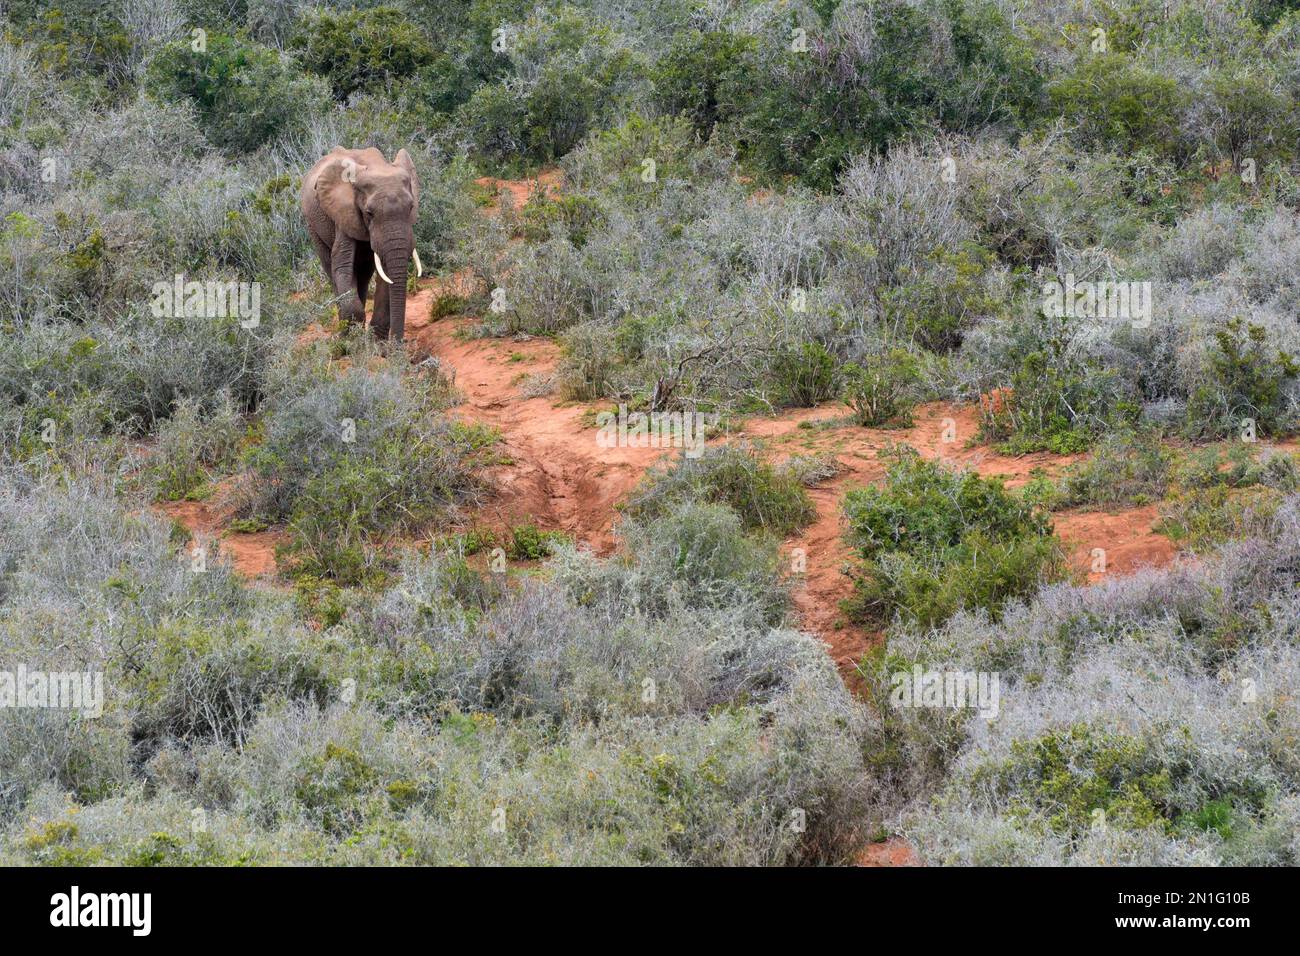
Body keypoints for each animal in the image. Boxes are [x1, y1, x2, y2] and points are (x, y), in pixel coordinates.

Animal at [299, 147, 421, 343]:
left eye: (411, 207)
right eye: (369, 213)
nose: (398, 345)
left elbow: (385, 274)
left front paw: (377, 344)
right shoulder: (343, 214)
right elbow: (342, 266)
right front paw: (352, 341)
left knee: (363, 273)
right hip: (312, 224)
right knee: (331, 269)